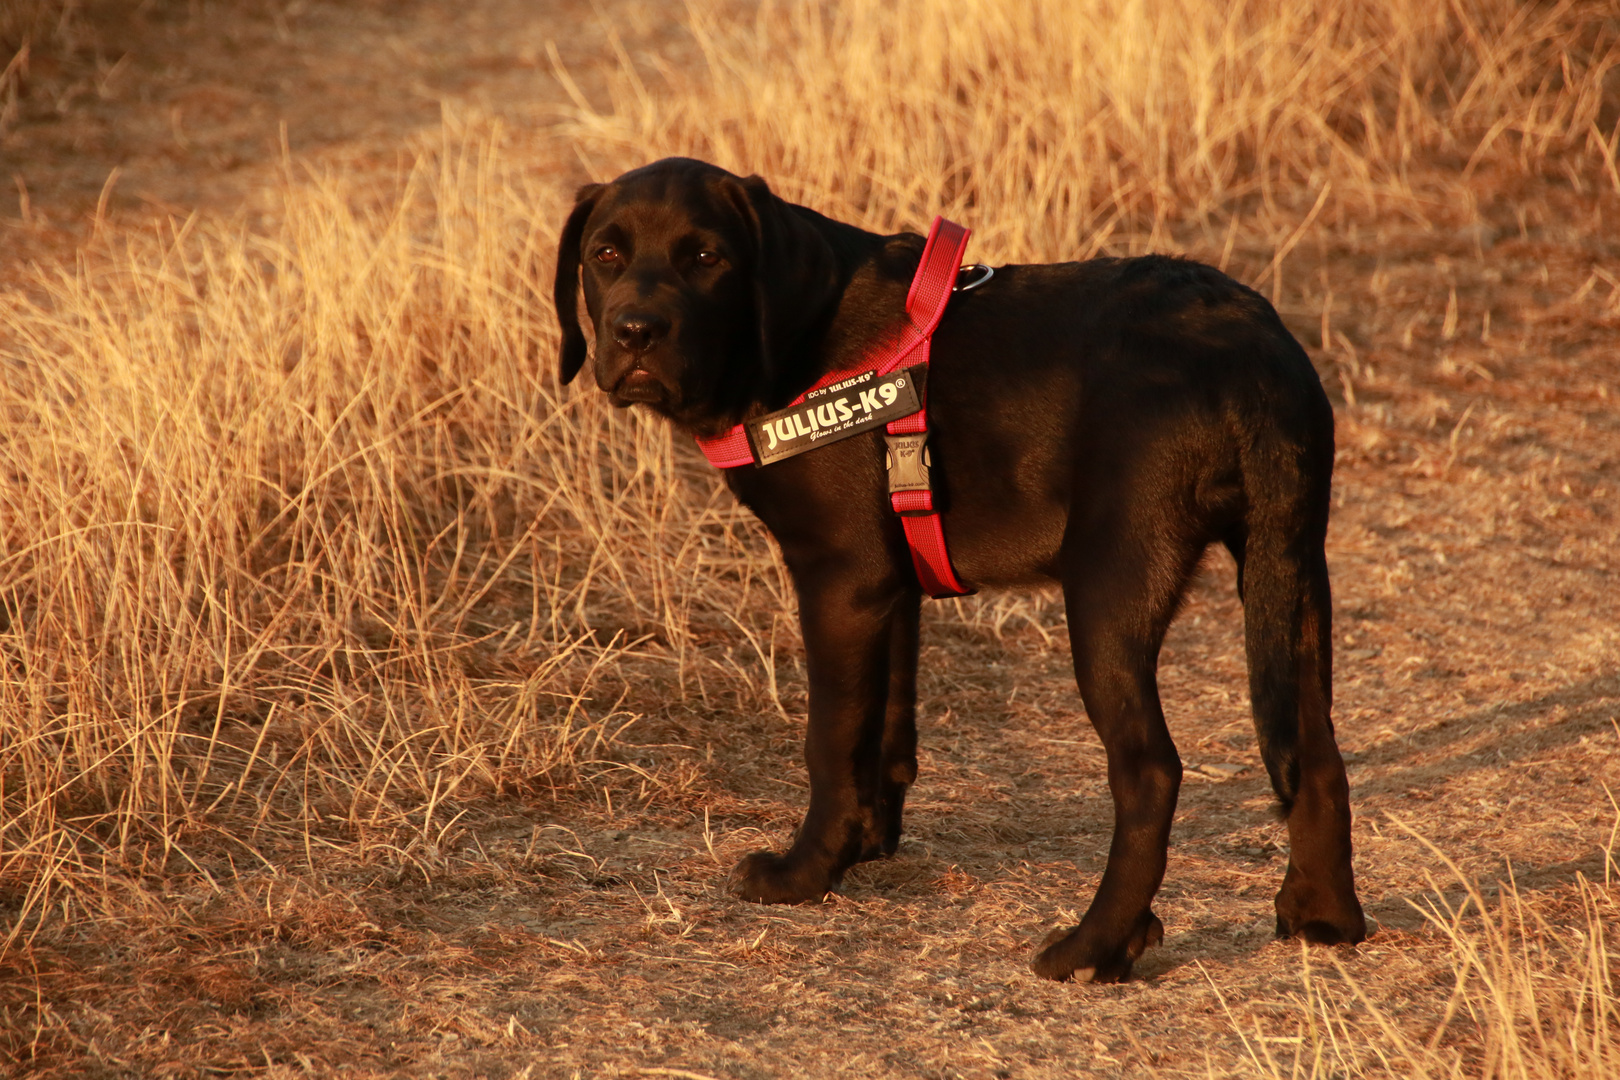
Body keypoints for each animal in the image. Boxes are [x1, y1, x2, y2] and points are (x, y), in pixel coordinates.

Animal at [550, 158, 1360, 977]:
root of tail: (1253, 352)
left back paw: (1095, 945)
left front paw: (803, 873)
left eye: (707, 258)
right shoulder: (889, 585)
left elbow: (830, 740)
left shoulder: (839, 577)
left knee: (1151, 773)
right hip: (1292, 572)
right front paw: (864, 845)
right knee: (1316, 751)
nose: (635, 331)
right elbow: (884, 729)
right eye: (605, 255)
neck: (791, 337)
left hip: (1112, 590)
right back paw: (1323, 916)